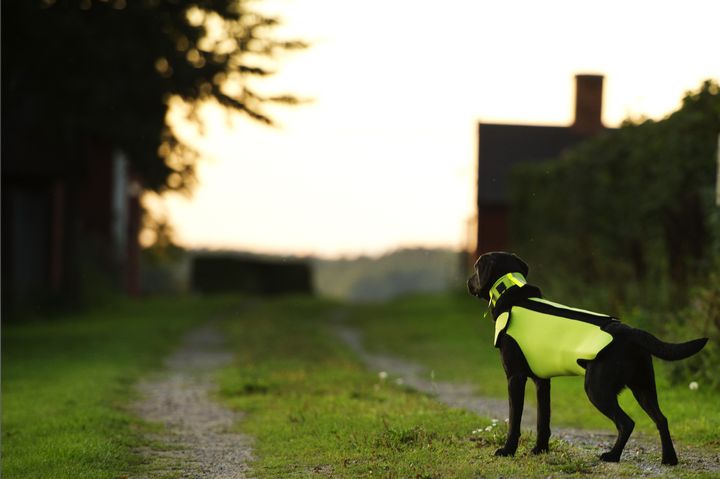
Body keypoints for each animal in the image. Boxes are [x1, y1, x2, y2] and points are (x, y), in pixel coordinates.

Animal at [466, 251, 708, 464]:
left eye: (476, 268)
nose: (468, 282)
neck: (512, 296)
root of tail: (628, 330)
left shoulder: (515, 378)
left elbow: (514, 422)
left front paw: (507, 451)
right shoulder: (542, 381)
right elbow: (543, 421)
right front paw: (540, 450)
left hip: (597, 389)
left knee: (627, 423)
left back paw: (612, 456)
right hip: (643, 387)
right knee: (661, 419)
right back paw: (669, 459)